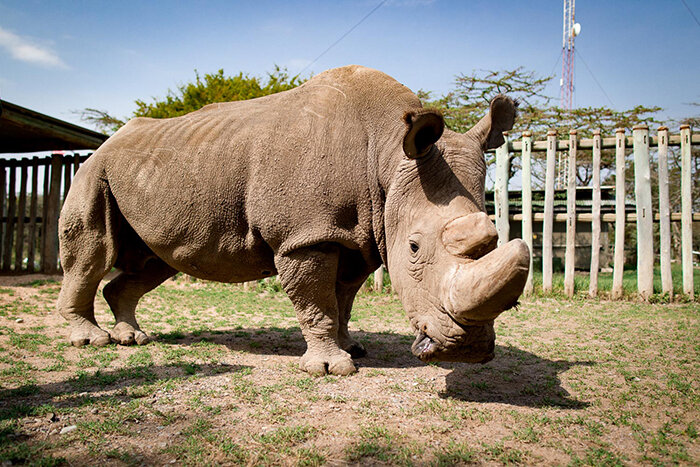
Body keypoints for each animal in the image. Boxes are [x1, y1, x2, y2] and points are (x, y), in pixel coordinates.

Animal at [58, 65, 524, 376]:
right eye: (413, 248)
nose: (465, 351)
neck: (389, 154)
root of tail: (107, 140)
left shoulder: (356, 237)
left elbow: (343, 298)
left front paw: (352, 348)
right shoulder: (305, 235)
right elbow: (317, 301)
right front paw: (332, 369)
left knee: (156, 261)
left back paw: (132, 338)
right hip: (94, 170)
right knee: (94, 252)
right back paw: (92, 341)